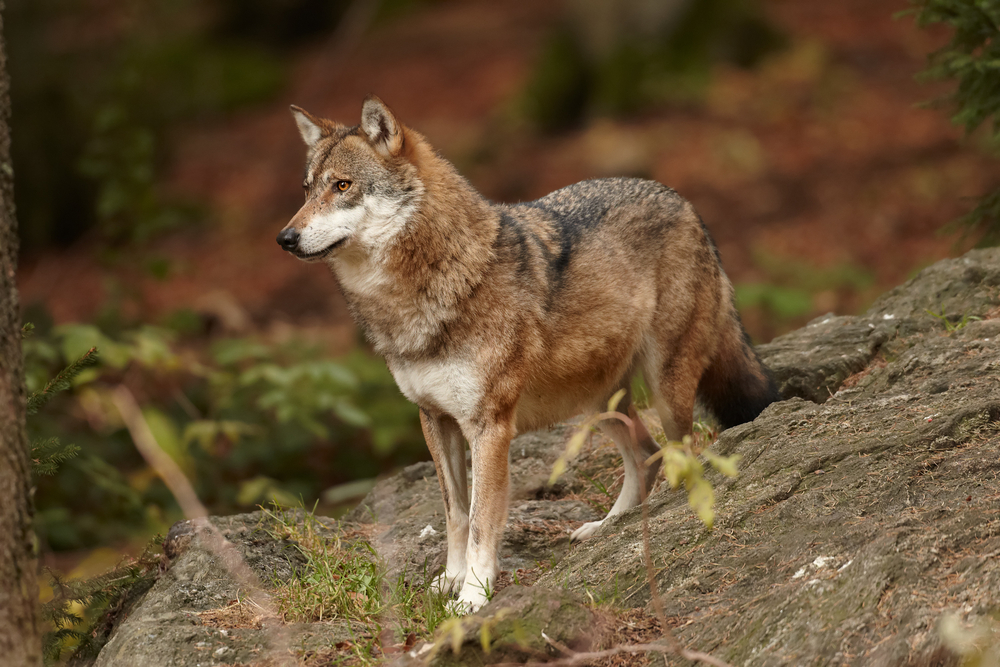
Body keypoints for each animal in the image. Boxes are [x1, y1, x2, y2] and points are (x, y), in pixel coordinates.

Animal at [277, 95, 779, 612]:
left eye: (342, 186)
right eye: (306, 190)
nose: (285, 238)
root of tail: (683, 201)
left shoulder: (489, 426)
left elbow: (482, 520)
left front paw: (473, 596)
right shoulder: (434, 419)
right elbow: (456, 514)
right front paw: (450, 581)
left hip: (663, 386)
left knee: (682, 452)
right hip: (596, 403)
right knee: (647, 454)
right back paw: (608, 527)